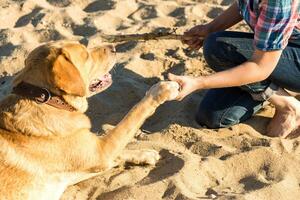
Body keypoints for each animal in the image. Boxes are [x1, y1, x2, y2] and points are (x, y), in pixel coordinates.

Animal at [0, 41, 178, 200]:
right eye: (86, 55)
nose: (114, 47)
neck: (47, 100)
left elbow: (119, 153)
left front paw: (144, 154)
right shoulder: (103, 151)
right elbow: (134, 114)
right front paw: (162, 90)